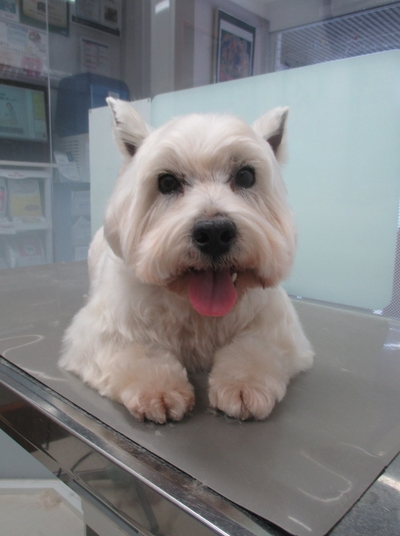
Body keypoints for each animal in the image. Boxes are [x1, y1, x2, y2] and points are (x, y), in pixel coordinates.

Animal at [60, 96, 316, 422]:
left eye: (246, 176)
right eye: (167, 182)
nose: (215, 232)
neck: (196, 310)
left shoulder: (280, 331)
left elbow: (256, 347)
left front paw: (243, 382)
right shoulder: (98, 335)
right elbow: (135, 351)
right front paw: (157, 388)